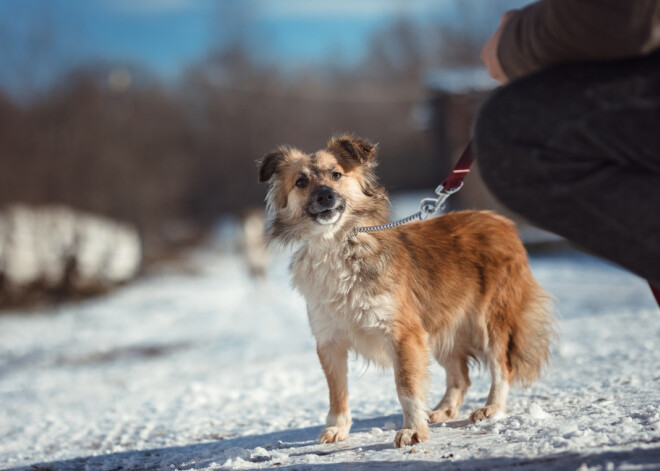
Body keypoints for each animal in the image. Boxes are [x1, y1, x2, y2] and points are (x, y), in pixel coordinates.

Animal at [258, 135, 556, 448]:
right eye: (301, 182)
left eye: (336, 175)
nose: (325, 196)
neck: (337, 244)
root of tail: (502, 223)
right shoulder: (330, 340)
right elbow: (337, 390)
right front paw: (337, 427)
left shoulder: (403, 333)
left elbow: (407, 386)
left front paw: (413, 429)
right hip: (440, 326)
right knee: (460, 377)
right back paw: (442, 411)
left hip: (490, 321)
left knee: (502, 367)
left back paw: (492, 408)